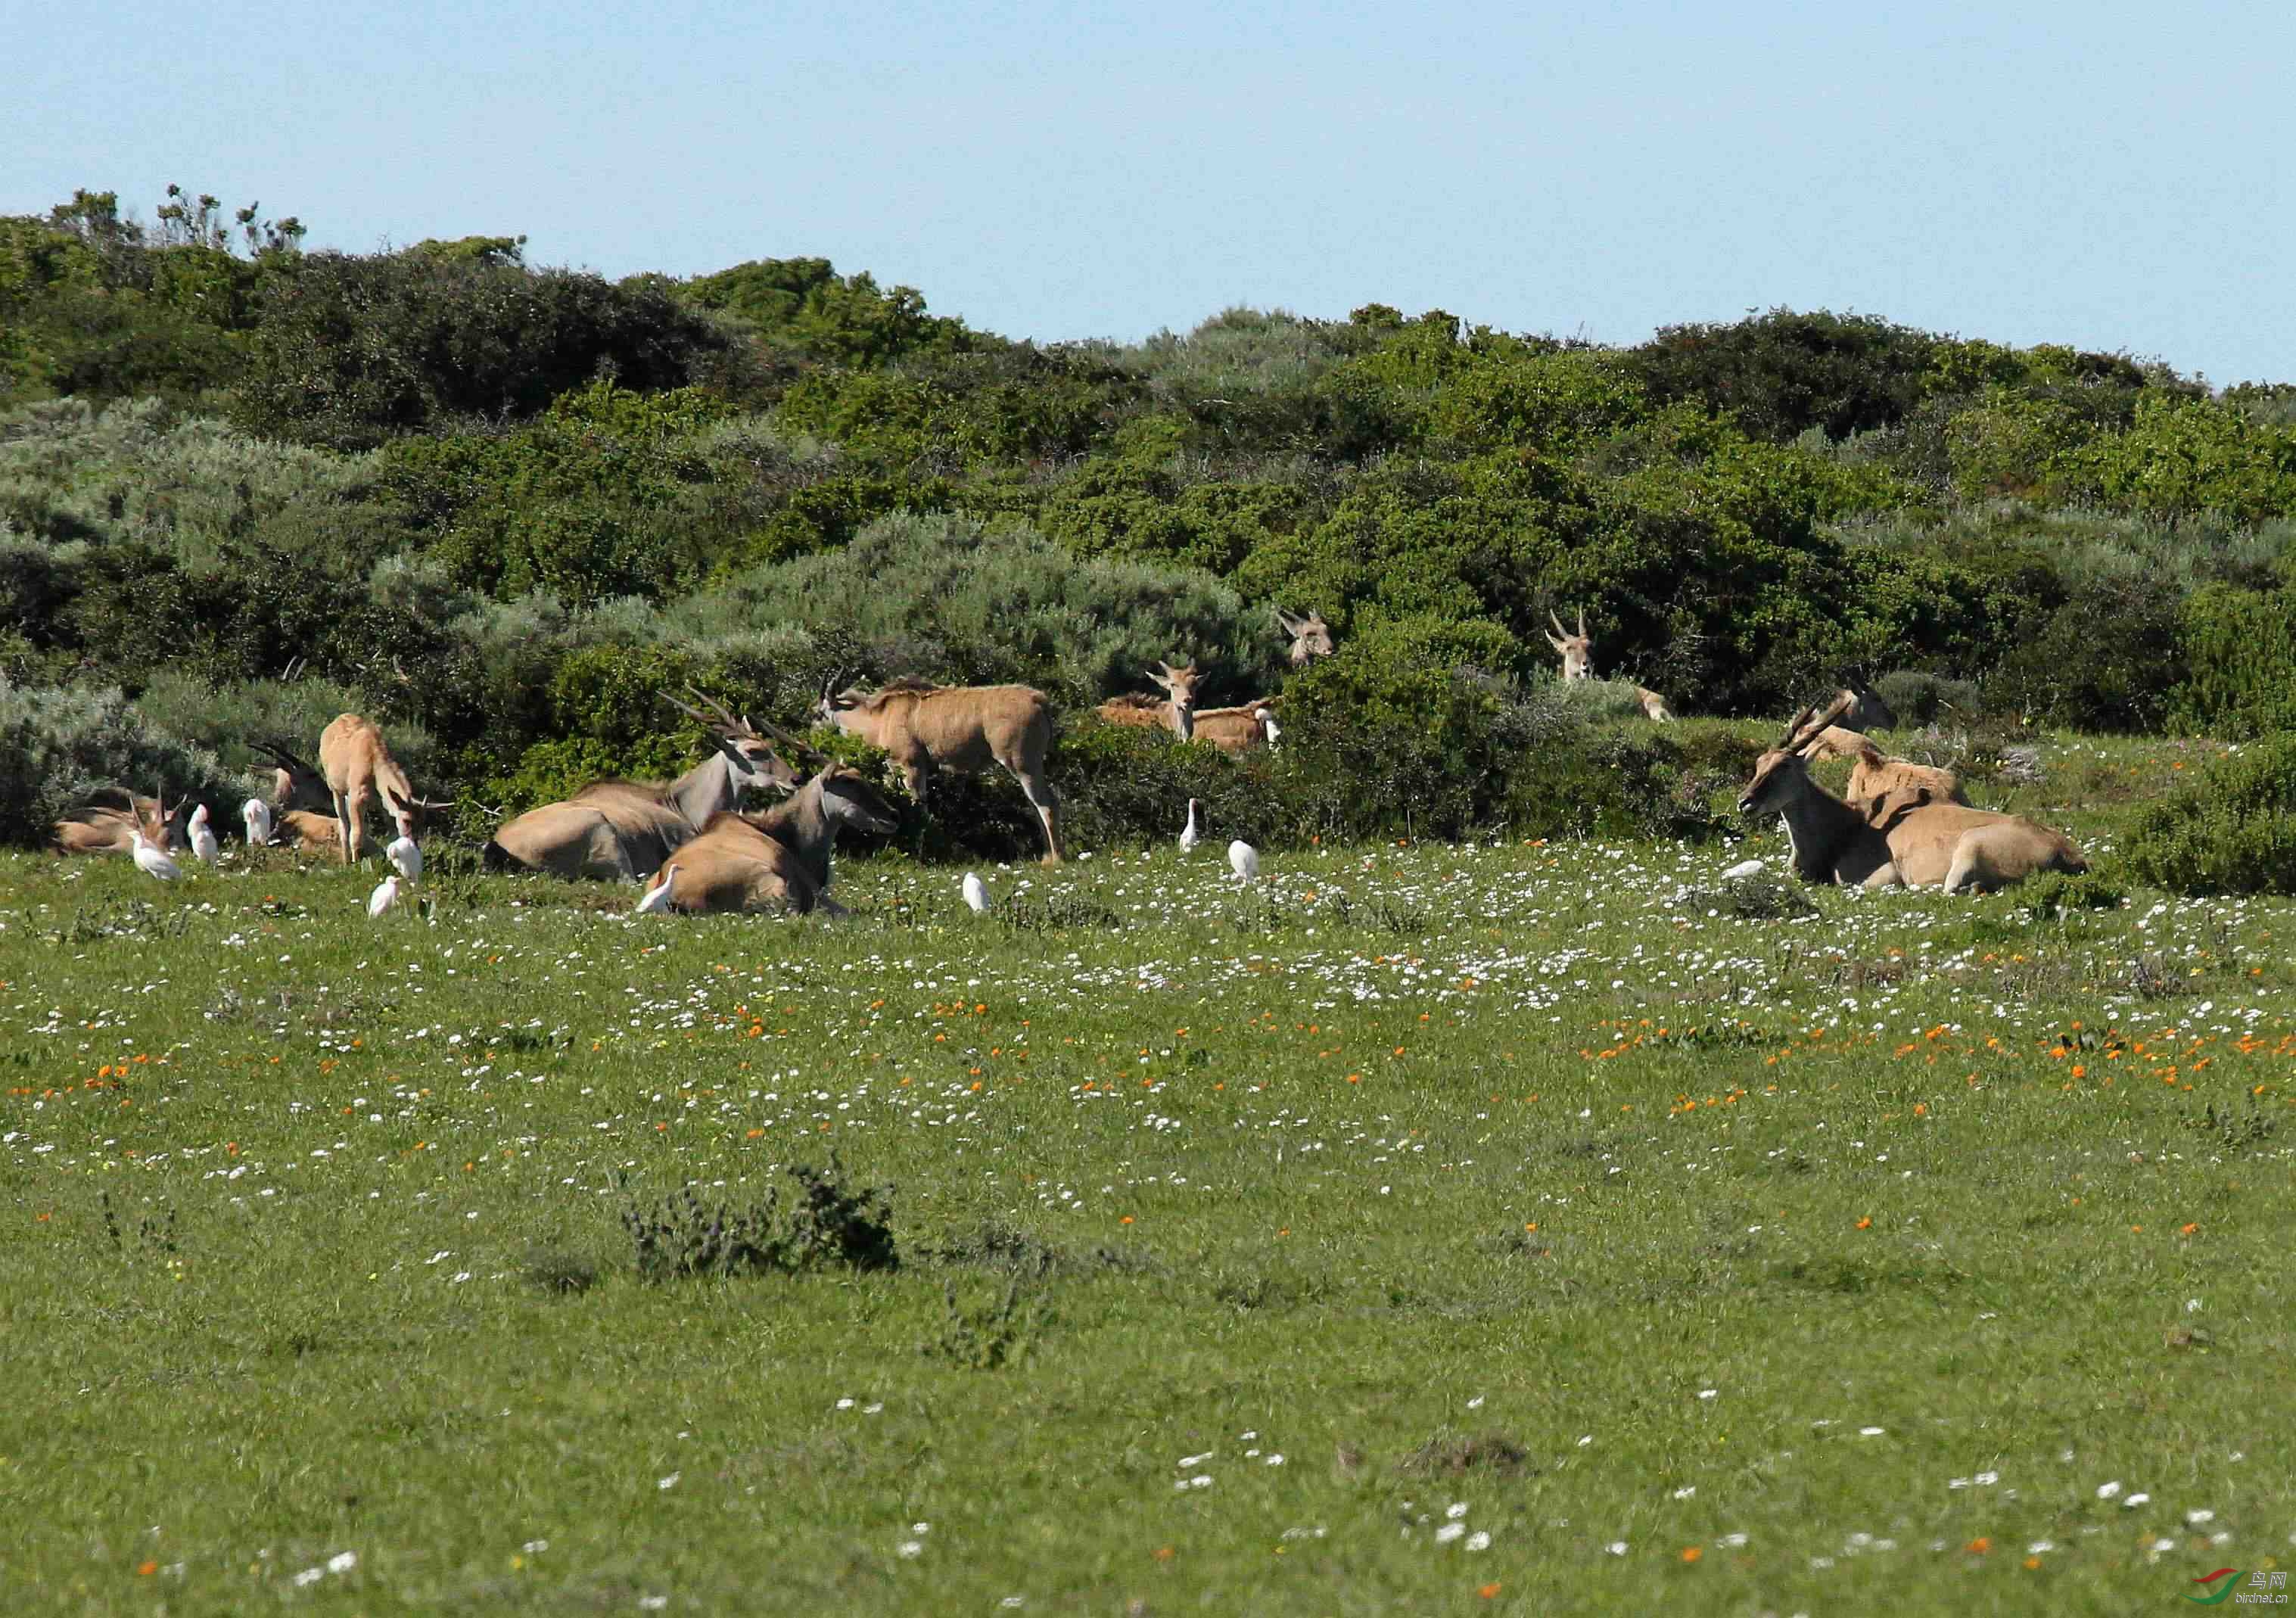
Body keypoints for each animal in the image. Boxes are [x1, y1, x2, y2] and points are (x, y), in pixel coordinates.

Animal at [316, 711, 445, 863]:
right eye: (406, 820)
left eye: (422, 821)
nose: (413, 844)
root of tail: (329, 727)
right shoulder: (357, 798)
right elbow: (356, 834)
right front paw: (356, 863)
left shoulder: (384, 804)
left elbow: (391, 833)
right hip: (335, 790)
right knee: (343, 824)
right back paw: (346, 860)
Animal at [817, 674, 1065, 863]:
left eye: (818, 713)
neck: (880, 717)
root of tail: (1038, 699)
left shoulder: (911, 767)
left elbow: (919, 808)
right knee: (1035, 804)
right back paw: (1046, 857)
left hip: (1023, 764)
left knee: (1047, 803)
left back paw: (1056, 859)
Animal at [1735, 702, 2084, 890]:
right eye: (1759, 764)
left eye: (1783, 767)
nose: (1745, 802)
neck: (1851, 824)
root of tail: (2070, 855)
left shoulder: (1883, 876)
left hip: (1969, 849)